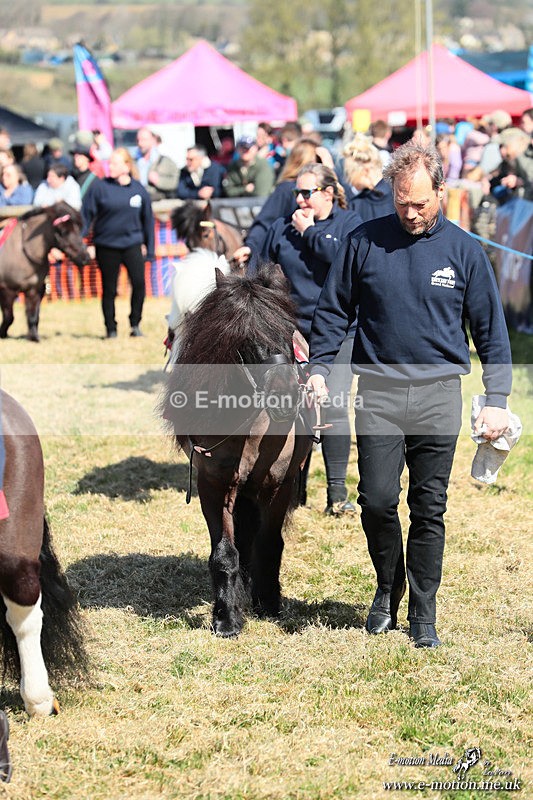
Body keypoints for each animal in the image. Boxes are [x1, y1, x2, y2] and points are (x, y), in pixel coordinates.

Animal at [0, 202, 90, 342]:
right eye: (62, 231)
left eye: (78, 229)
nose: (85, 258)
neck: (22, 253)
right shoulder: (7, 290)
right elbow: (9, 317)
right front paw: (2, 334)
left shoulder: (35, 290)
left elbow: (33, 316)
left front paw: (34, 337)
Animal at [161, 263, 314, 637]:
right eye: (245, 338)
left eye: (288, 331)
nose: (287, 398)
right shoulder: (214, 485)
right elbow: (225, 552)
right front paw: (227, 617)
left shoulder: (278, 485)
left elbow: (270, 543)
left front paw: (269, 603)